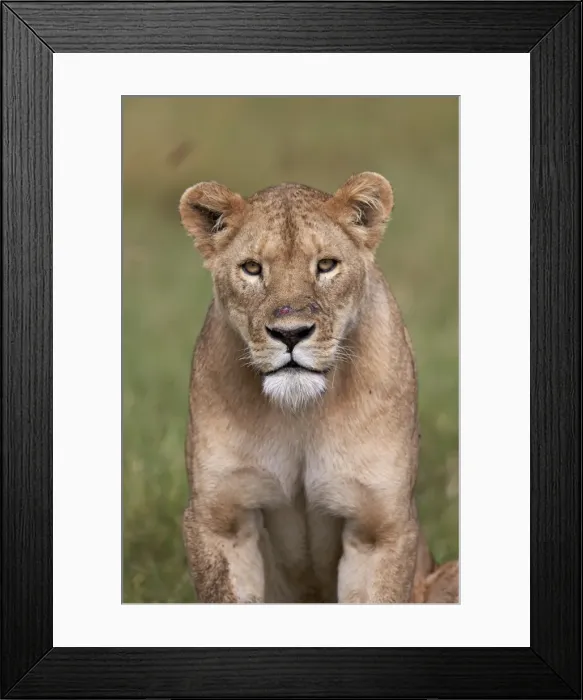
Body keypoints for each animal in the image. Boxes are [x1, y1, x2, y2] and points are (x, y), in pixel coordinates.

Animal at [178, 171, 450, 603]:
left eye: (326, 265)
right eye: (251, 268)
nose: (290, 334)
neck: (300, 412)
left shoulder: (379, 529)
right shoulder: (219, 519)